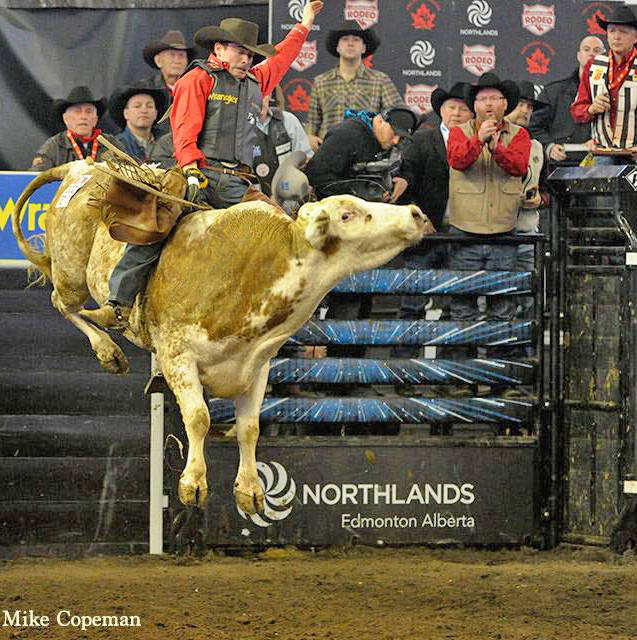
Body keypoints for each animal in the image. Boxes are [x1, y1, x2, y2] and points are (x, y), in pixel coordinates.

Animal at [13, 161, 432, 516]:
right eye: (347, 214)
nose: (415, 212)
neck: (253, 272)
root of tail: (82, 166)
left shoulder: (256, 366)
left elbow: (250, 427)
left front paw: (250, 491)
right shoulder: (177, 356)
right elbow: (199, 417)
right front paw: (192, 484)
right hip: (71, 272)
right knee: (62, 302)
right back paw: (108, 351)